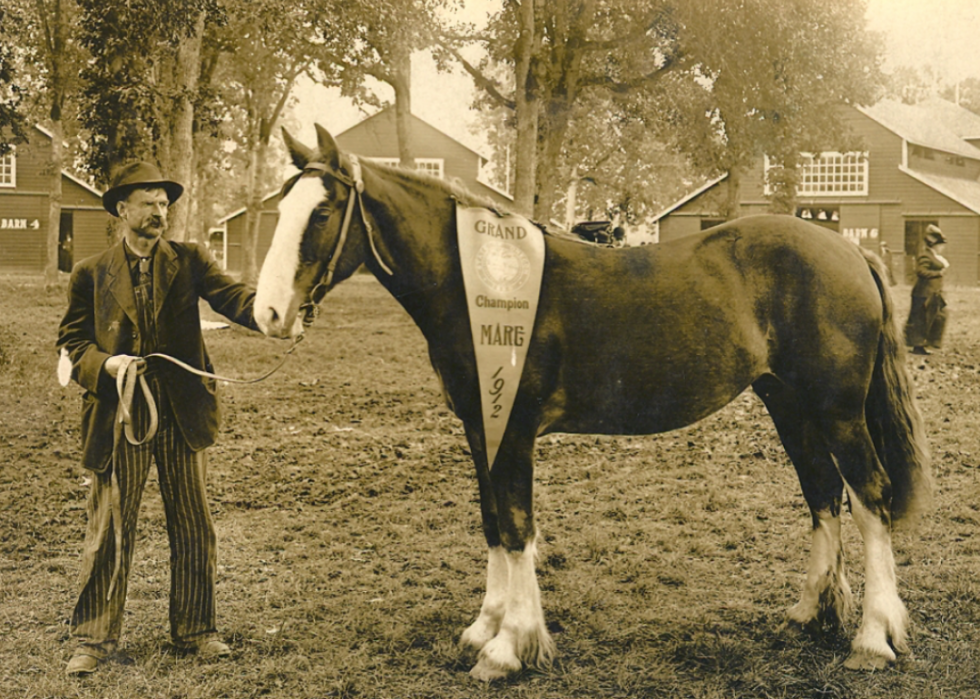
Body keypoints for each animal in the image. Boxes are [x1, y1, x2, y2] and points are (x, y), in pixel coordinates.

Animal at [255, 124, 936, 680]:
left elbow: (518, 526)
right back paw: (810, 612)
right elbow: (493, 522)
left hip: (837, 411)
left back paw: (873, 637)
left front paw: (510, 647)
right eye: (282, 207)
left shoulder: (514, 427)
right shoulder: (482, 427)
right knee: (823, 493)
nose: (267, 313)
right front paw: (485, 626)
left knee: (869, 497)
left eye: (322, 211)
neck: (480, 283)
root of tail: (849, 249)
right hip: (788, 405)